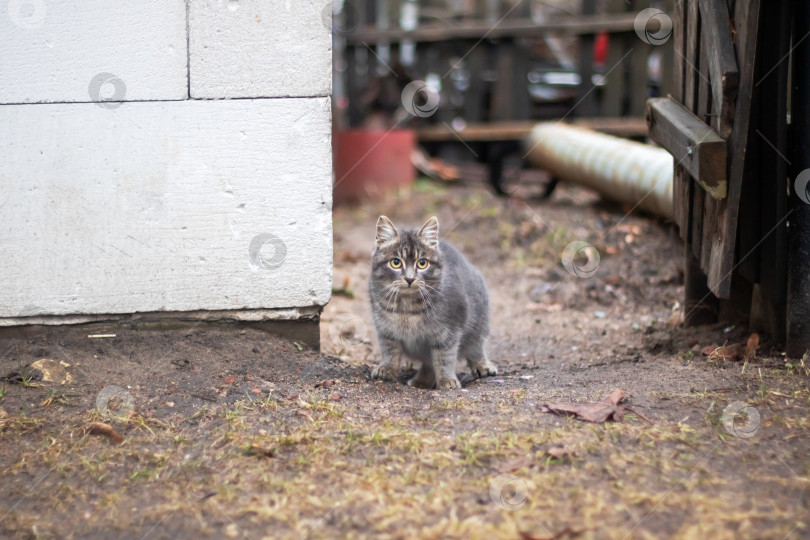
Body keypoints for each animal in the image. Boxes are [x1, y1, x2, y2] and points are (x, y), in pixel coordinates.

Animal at [370, 215, 496, 388]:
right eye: (396, 262)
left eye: (422, 263)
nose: (410, 278)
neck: (407, 308)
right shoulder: (386, 330)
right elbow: (390, 350)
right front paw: (387, 368)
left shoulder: (449, 331)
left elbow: (444, 357)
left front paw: (447, 379)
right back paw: (421, 381)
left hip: (478, 323)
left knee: (475, 348)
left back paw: (482, 366)